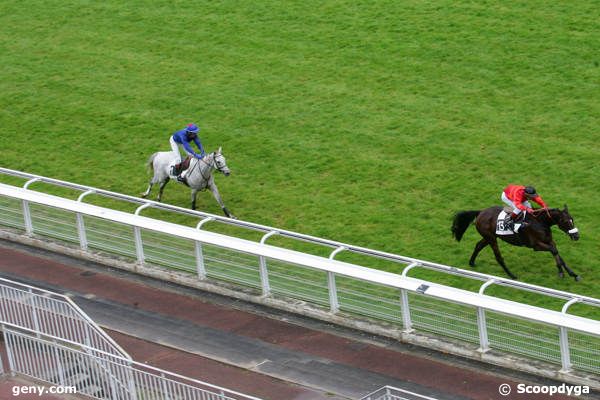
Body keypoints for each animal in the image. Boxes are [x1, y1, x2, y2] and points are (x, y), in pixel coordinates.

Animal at [452, 206, 580, 282]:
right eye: (565, 221)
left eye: (572, 219)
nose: (576, 236)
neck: (540, 222)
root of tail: (480, 212)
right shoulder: (536, 245)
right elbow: (554, 250)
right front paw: (561, 272)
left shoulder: (549, 241)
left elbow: (557, 252)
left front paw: (572, 273)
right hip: (491, 238)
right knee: (498, 257)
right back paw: (512, 275)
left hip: (489, 237)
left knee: (478, 245)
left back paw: (472, 262)